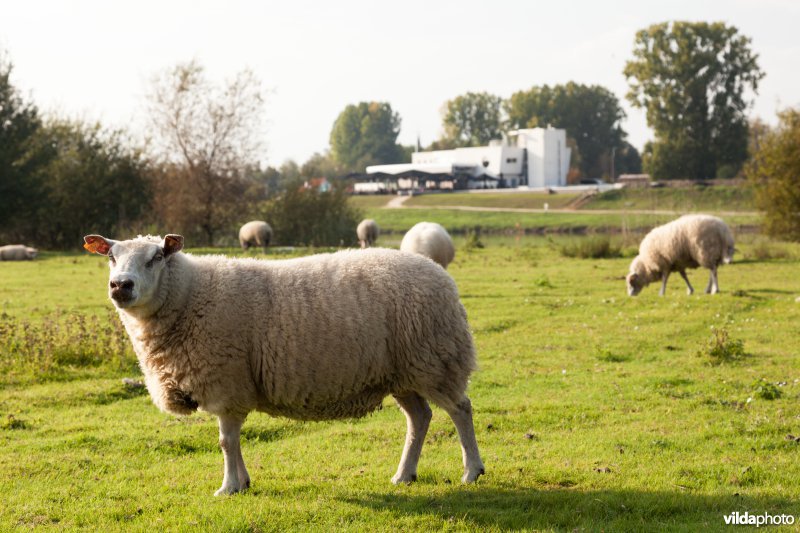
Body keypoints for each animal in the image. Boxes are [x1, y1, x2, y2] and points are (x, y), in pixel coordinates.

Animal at [87, 233, 488, 494]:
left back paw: (472, 471)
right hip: (403, 373)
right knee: (420, 418)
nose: (120, 285)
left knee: (461, 410)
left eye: (156, 256)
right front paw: (243, 482)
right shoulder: (231, 385)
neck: (189, 296)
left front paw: (229, 486)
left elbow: (226, 442)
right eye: (111, 257)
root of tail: (440, 274)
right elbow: (232, 441)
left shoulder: (227, 381)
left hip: (436, 360)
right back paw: (404, 475)